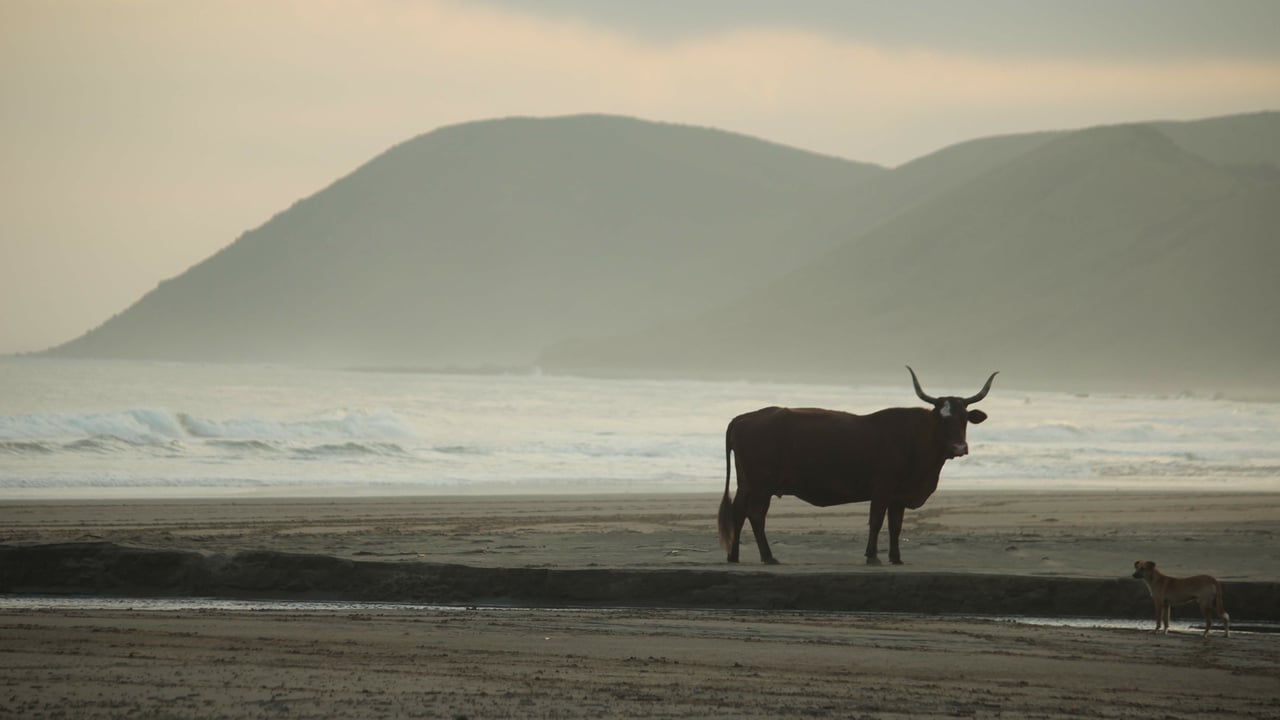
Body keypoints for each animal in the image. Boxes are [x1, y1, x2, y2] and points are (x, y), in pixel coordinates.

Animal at [716, 366, 993, 563]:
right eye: (942, 418)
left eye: (964, 418)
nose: (959, 448)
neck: (915, 439)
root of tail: (745, 417)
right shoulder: (882, 488)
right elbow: (877, 521)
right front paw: (873, 556)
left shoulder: (898, 495)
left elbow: (895, 526)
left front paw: (896, 558)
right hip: (762, 485)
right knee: (755, 514)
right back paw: (768, 556)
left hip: (747, 483)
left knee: (738, 512)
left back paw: (733, 555)